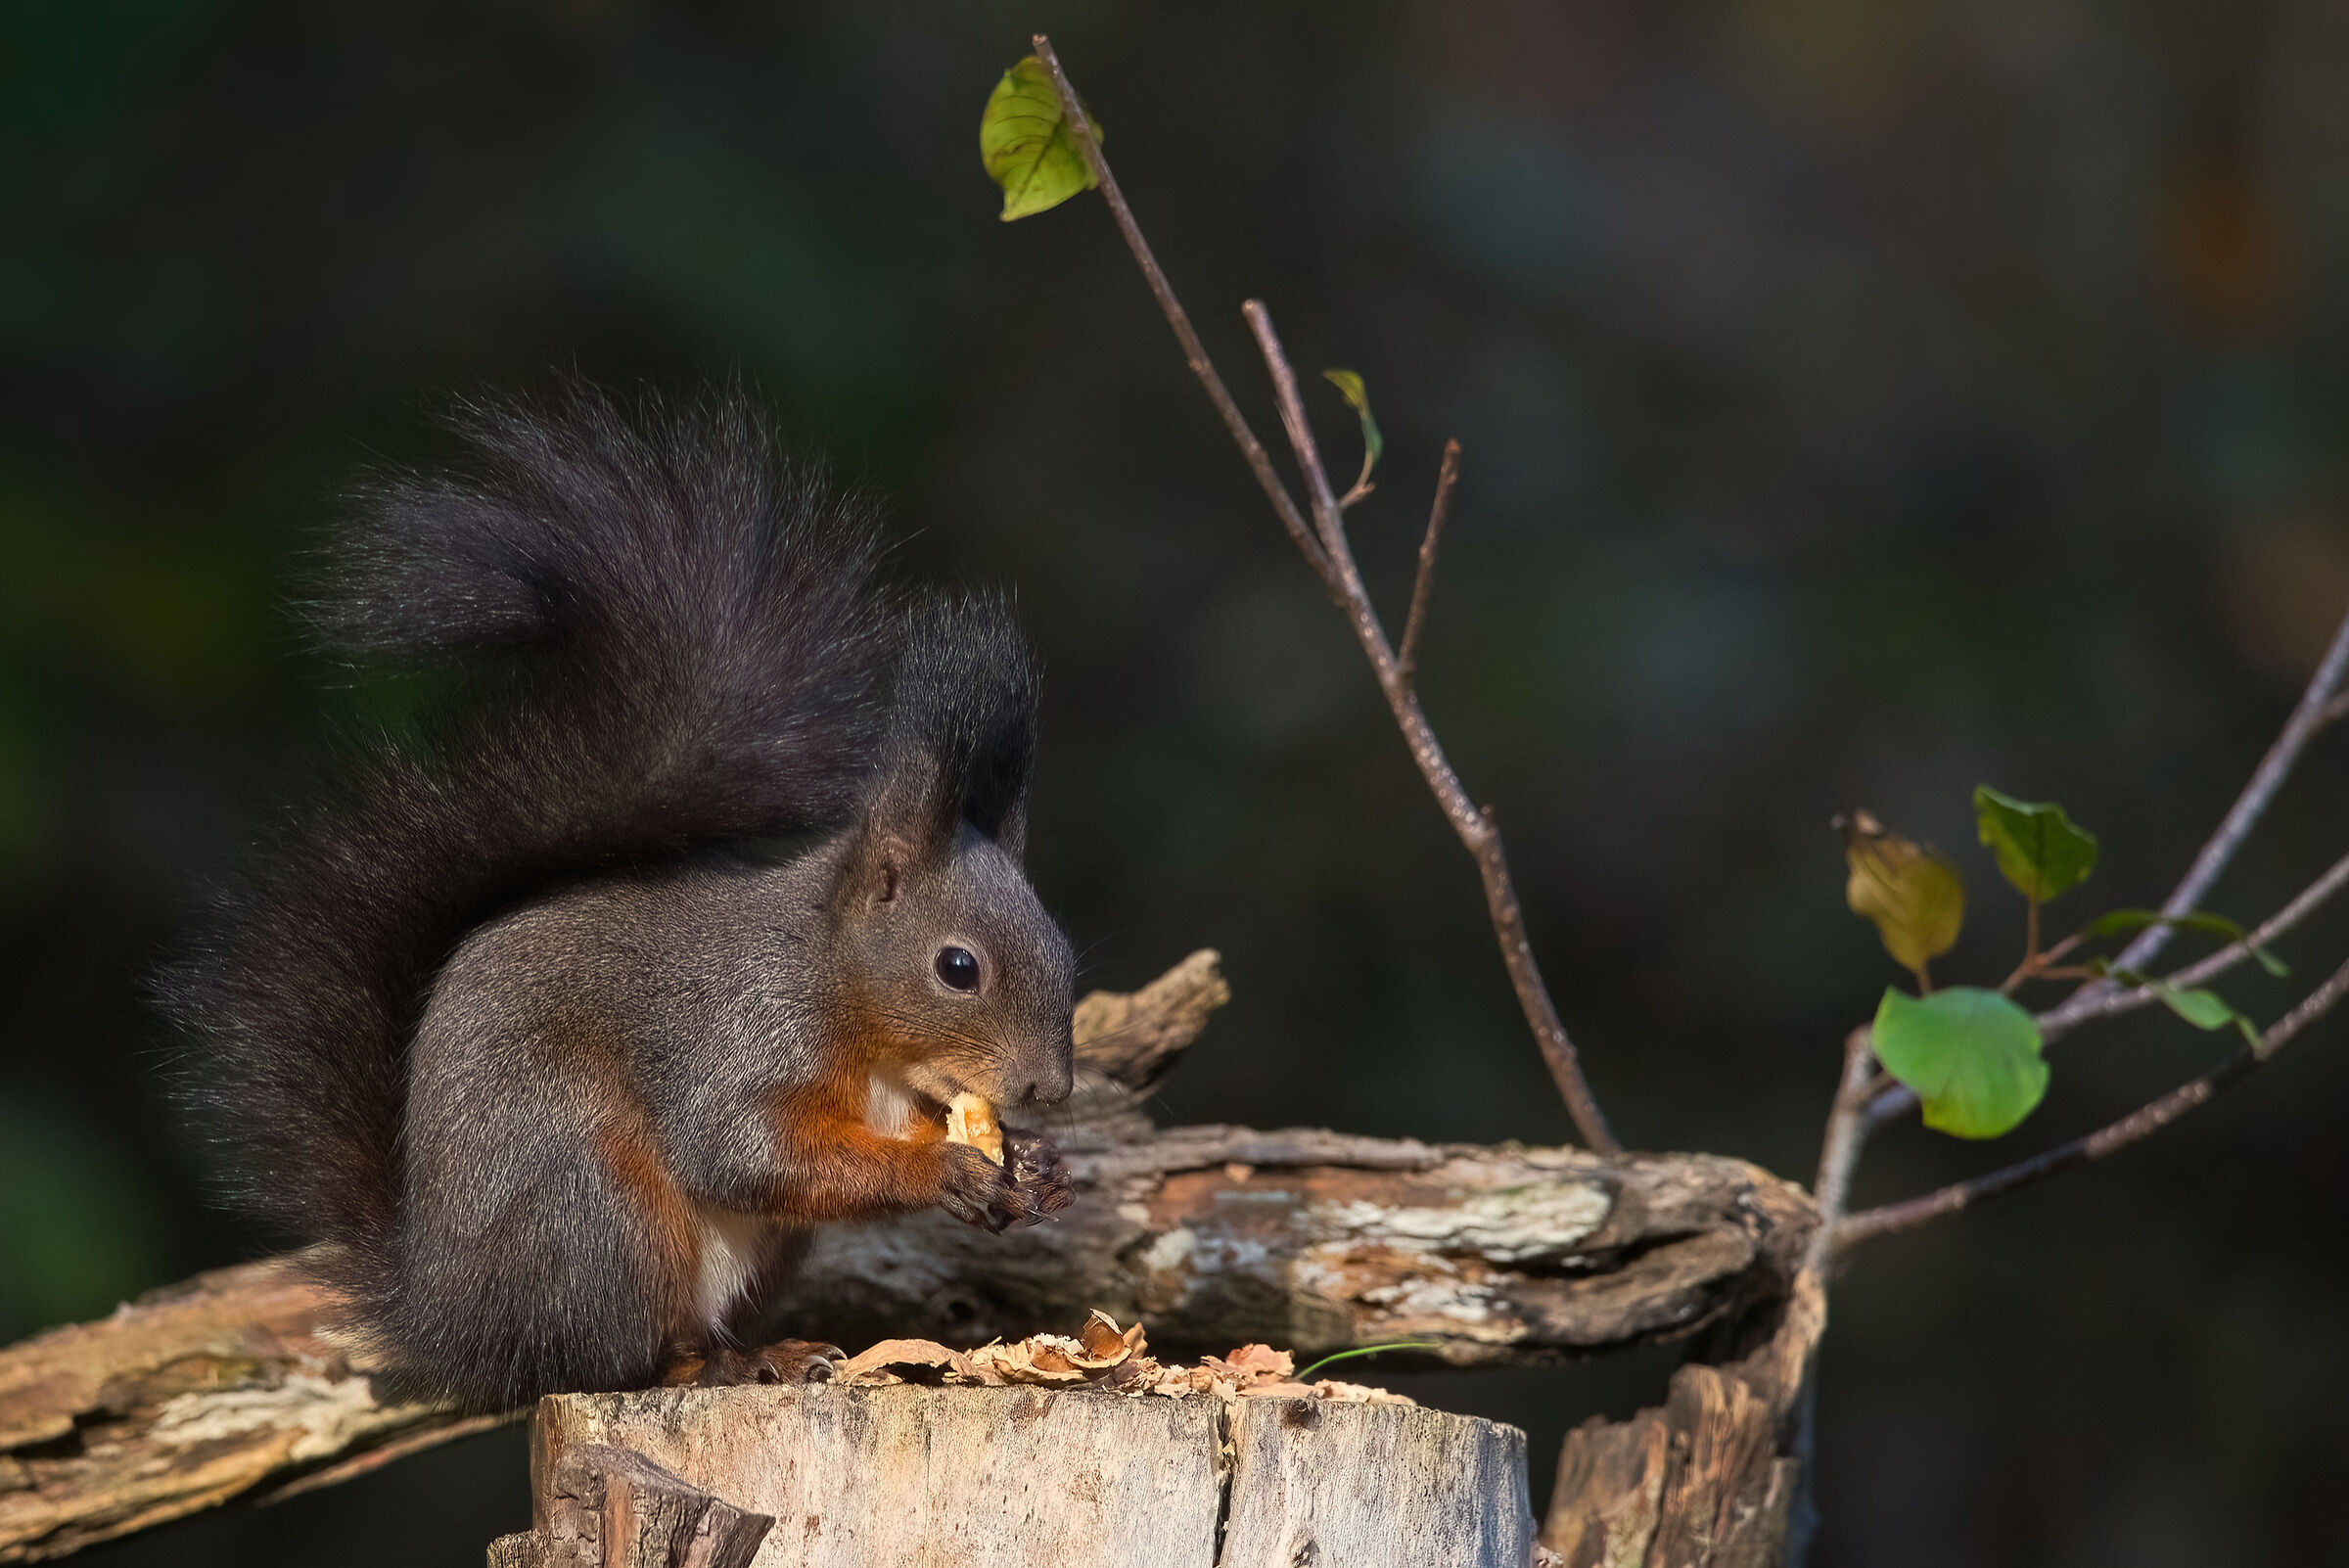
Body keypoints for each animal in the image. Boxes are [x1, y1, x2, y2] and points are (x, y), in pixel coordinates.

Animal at [157, 386, 1078, 1413]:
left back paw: (768, 1352)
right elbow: (744, 1149)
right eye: (957, 967)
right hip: (595, 1206)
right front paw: (942, 1166)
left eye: (1064, 949)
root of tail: (454, 1323)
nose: (1050, 1089)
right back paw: (721, 1363)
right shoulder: (734, 1037)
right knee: (613, 1360)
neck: (839, 995)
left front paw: (1036, 1166)